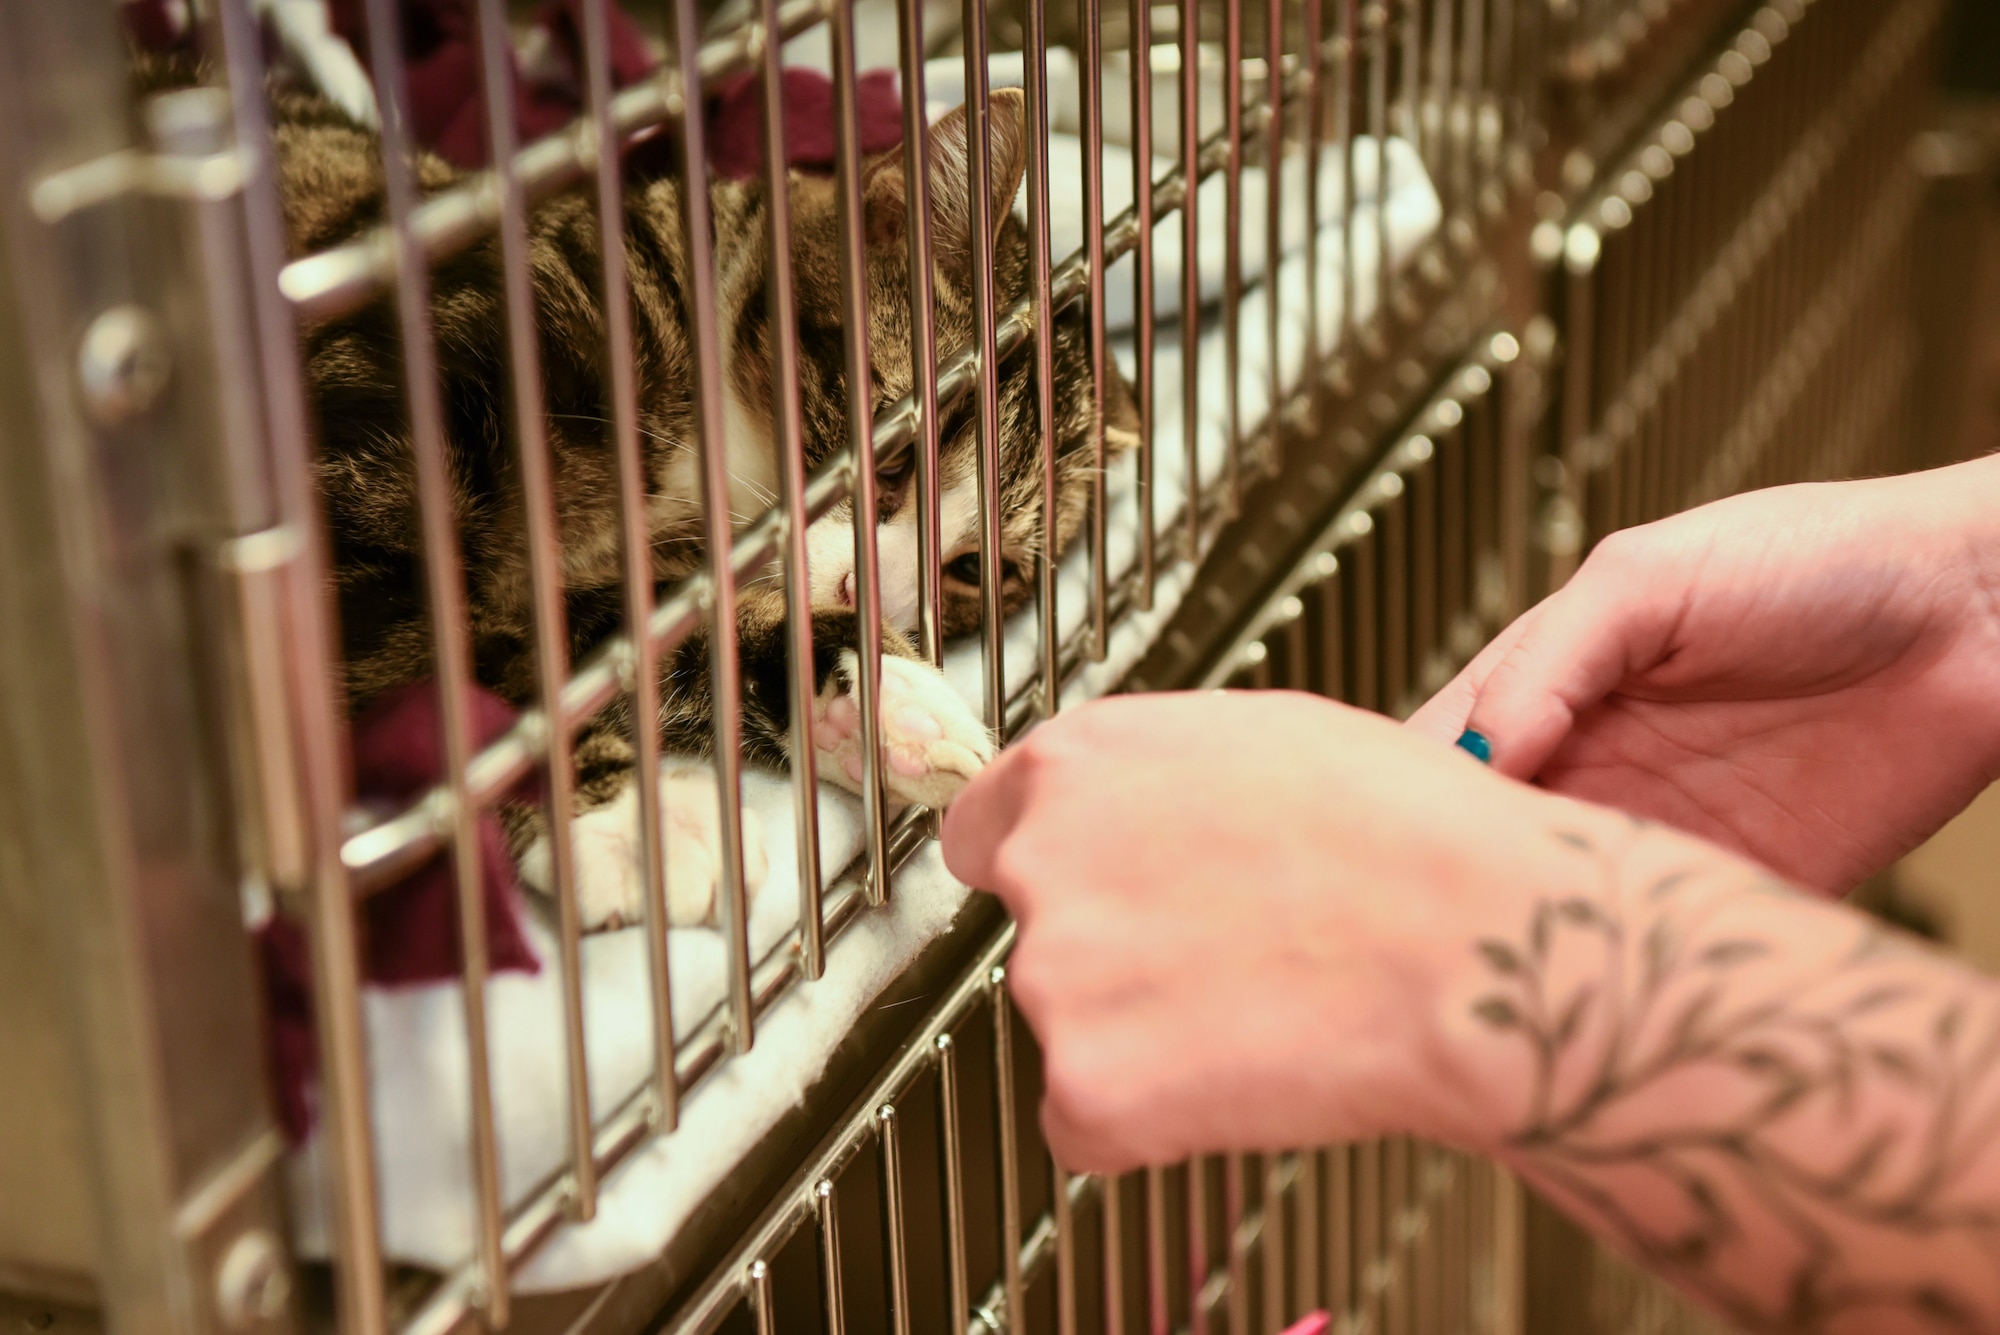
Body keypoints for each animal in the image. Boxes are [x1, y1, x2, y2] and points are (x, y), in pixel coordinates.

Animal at [270, 78, 1144, 923]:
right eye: (895, 453)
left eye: (974, 571)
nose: (864, 590)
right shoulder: (357, 440)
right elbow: (442, 669)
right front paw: (627, 818)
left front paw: (874, 701)